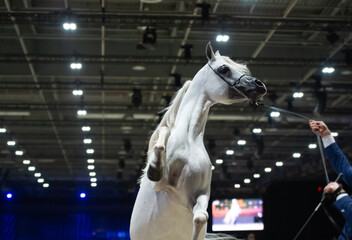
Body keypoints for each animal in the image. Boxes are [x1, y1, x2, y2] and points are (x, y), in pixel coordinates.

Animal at [130, 43, 266, 240]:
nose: (260, 85)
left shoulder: (199, 195)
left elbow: (201, 217)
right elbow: (164, 131)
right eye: (224, 68)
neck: (188, 141)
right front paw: (154, 169)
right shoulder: (159, 186)